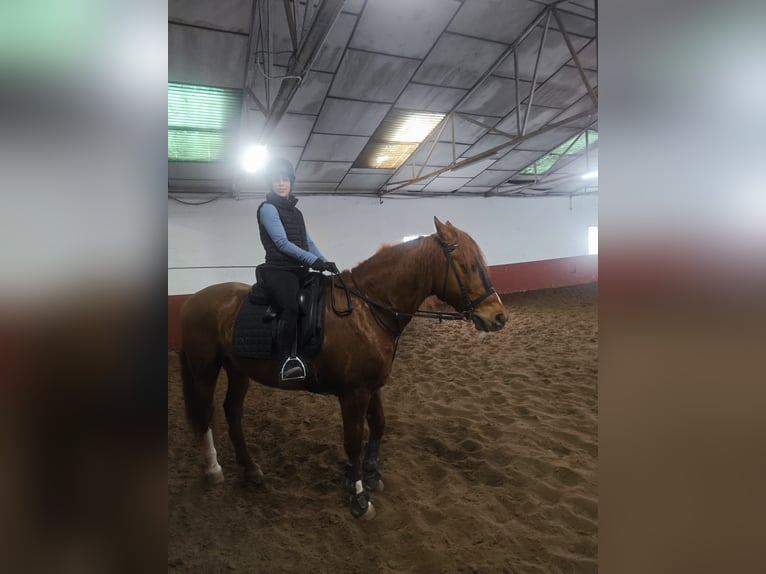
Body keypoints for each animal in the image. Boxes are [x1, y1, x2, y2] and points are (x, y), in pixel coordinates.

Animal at [179, 217, 508, 520]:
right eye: (466, 266)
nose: (499, 316)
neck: (369, 310)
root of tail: (194, 300)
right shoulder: (354, 393)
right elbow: (352, 441)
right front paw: (359, 497)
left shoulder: (372, 386)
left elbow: (378, 425)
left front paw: (370, 475)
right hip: (204, 368)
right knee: (206, 411)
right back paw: (213, 469)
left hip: (238, 370)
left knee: (232, 411)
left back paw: (251, 470)